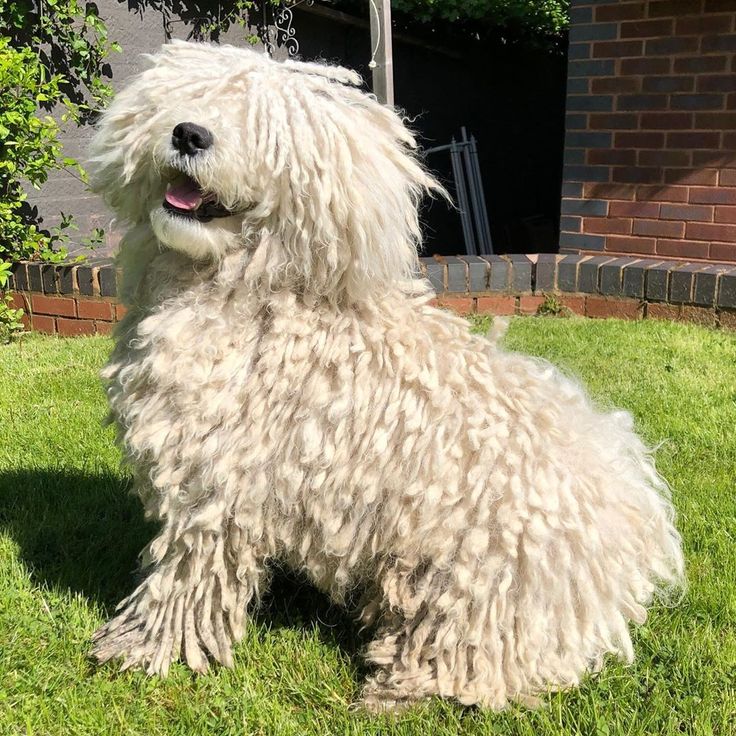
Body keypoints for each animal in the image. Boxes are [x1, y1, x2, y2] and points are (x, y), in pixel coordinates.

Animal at [87, 41, 684, 712]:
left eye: (265, 130)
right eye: (194, 95)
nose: (190, 133)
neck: (260, 298)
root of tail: (628, 548)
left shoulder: (213, 487)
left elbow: (186, 576)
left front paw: (141, 649)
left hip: (468, 579)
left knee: (473, 657)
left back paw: (396, 689)